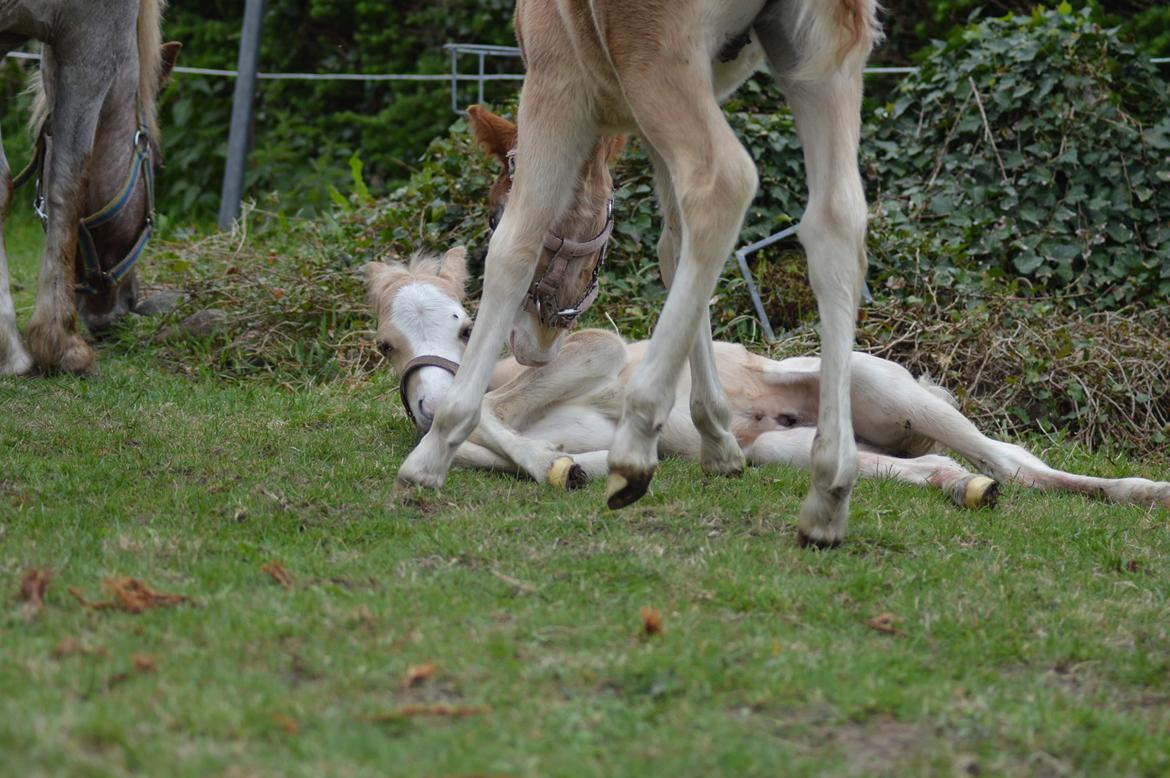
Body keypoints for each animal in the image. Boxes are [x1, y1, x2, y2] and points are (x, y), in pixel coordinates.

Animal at [1, 0, 179, 376]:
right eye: (156, 162)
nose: (129, 301)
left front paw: (8, 351)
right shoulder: (90, 43)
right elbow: (68, 184)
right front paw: (61, 345)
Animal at [369, 250, 1170, 510]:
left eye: (465, 325)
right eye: (384, 343)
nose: (427, 398)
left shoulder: (595, 348)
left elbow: (490, 412)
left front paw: (549, 462)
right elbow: (501, 442)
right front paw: (562, 466)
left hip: (890, 390)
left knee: (1015, 464)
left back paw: (1141, 492)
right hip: (793, 449)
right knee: (934, 465)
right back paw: (960, 487)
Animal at [400, 0, 879, 545]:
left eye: (492, 215)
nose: (527, 347)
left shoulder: (555, 82)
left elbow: (515, 246)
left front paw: (432, 452)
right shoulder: (652, 119)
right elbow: (675, 247)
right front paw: (719, 440)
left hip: (660, 59)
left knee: (723, 182)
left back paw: (634, 440)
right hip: (820, 64)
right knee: (836, 222)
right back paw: (830, 487)